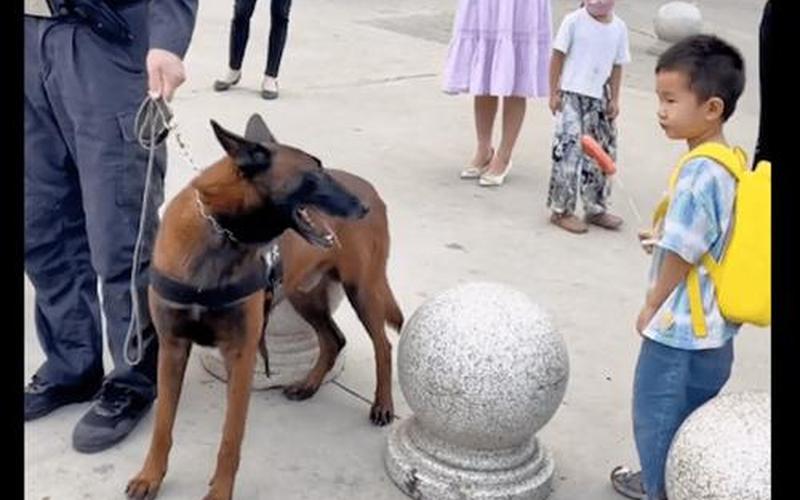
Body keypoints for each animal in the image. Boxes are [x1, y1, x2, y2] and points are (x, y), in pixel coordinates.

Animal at [127, 115, 404, 500]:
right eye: (314, 173)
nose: (361, 208)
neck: (220, 233)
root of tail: (373, 190)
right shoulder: (172, 347)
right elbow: (162, 424)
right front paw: (151, 476)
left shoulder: (240, 354)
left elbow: (230, 438)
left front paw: (219, 492)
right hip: (305, 296)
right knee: (334, 339)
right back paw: (308, 385)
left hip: (362, 289)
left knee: (383, 345)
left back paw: (382, 404)